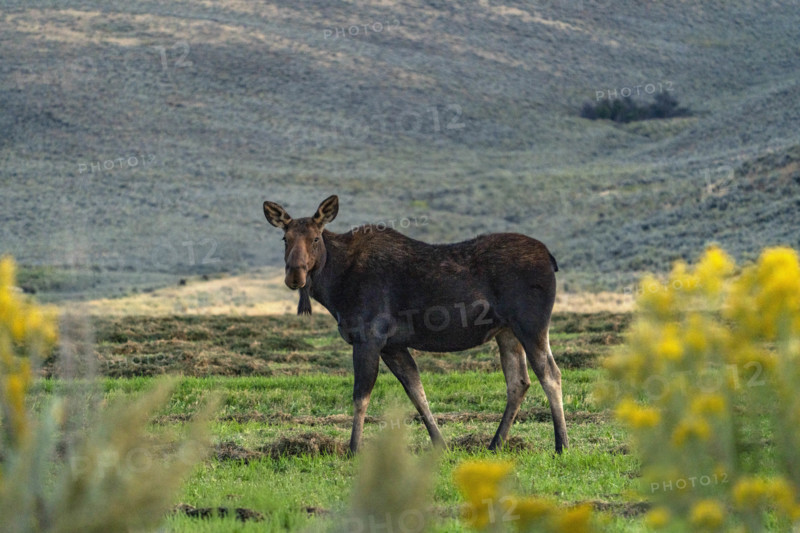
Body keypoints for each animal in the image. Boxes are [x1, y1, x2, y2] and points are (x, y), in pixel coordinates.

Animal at [263, 195, 568, 454]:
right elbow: (417, 392)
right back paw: (495, 444)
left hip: (531, 324)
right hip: (506, 332)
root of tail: (551, 258)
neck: (334, 287)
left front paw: (353, 449)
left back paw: (561, 444)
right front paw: (441, 445)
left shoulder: (368, 337)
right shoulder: (393, 346)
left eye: (315, 238)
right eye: (285, 238)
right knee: (519, 382)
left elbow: (361, 396)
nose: (295, 275)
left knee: (550, 374)